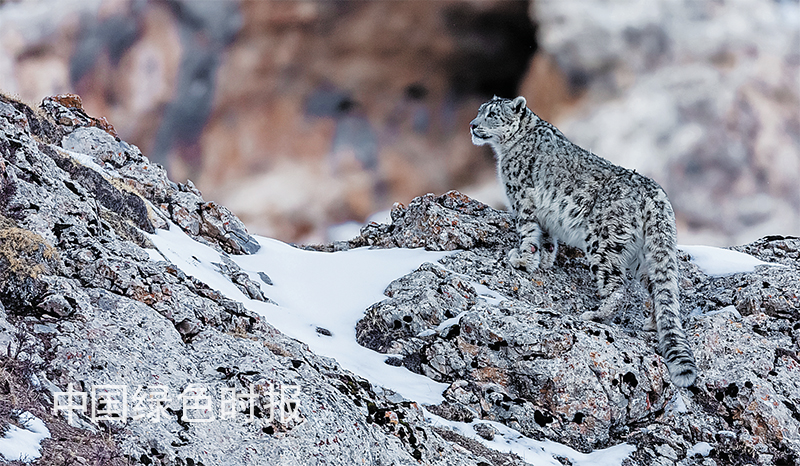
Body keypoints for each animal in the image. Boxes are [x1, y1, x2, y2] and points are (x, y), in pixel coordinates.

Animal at [472, 94, 696, 386]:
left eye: (492, 114)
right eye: (479, 111)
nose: (473, 125)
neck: (505, 151)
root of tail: (655, 193)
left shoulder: (522, 199)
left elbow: (528, 230)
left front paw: (522, 259)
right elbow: (547, 238)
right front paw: (544, 260)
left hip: (602, 242)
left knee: (618, 288)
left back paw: (597, 315)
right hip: (642, 255)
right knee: (657, 286)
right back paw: (652, 323)